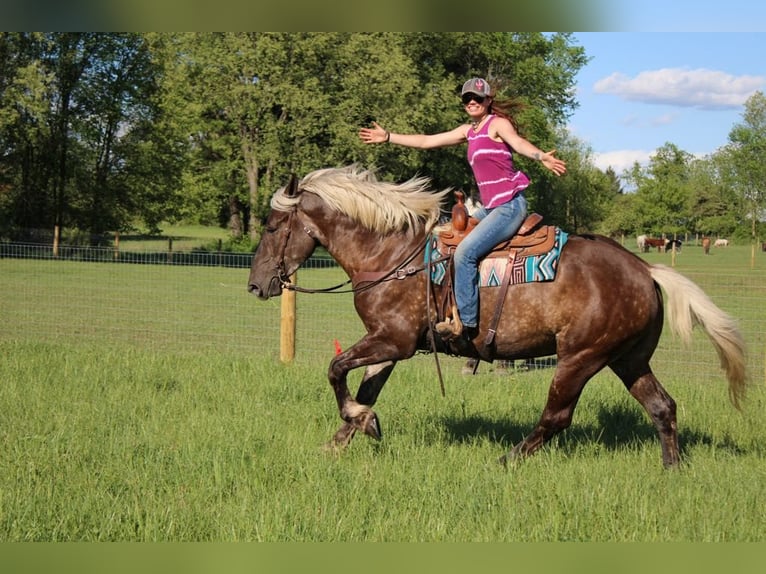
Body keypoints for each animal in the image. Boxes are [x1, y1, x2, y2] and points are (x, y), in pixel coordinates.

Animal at [247, 165, 747, 468]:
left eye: (271, 227)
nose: (255, 285)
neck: (391, 255)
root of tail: (645, 269)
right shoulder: (386, 342)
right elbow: (367, 387)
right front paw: (346, 436)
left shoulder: (394, 340)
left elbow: (336, 370)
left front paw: (359, 423)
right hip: (629, 358)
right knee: (662, 407)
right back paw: (672, 469)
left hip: (580, 358)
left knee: (556, 417)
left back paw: (508, 459)